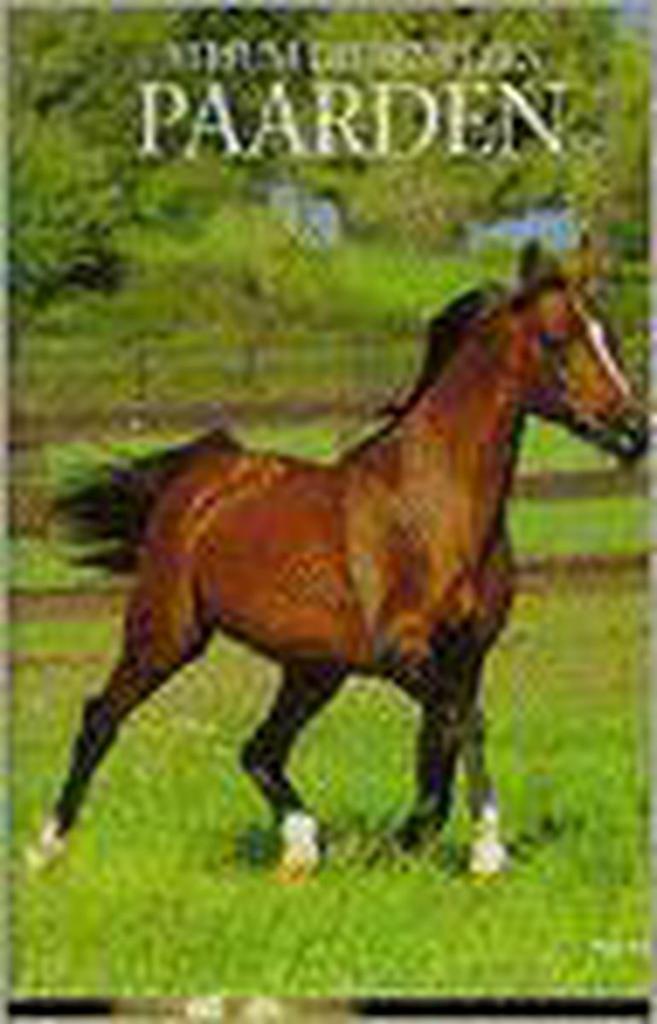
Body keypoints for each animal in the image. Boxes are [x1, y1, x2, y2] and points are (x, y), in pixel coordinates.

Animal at [29, 240, 648, 881]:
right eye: (557, 340)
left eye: (609, 335)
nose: (633, 430)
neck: (433, 507)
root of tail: (200, 475)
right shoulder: (400, 652)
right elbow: (460, 725)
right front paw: (464, 849)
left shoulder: (467, 655)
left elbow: (446, 741)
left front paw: (433, 845)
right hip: (167, 634)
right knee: (101, 717)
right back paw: (45, 847)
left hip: (313, 669)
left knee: (260, 750)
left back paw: (302, 849)